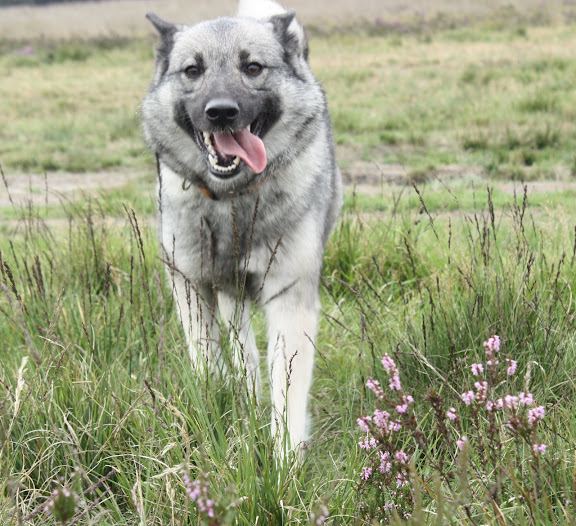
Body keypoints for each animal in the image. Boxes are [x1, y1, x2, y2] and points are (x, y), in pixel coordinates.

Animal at [141, 0, 342, 458]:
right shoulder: (191, 285)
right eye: (192, 70)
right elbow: (208, 363)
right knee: (242, 347)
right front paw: (218, 410)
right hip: (227, 292)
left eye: (252, 67)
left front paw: (285, 462)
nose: (221, 111)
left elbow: (287, 391)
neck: (231, 200)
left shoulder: (289, 299)